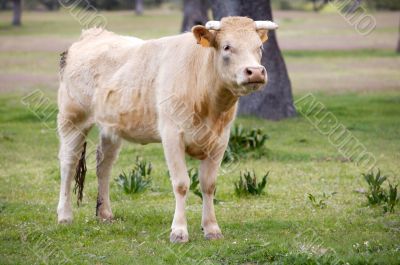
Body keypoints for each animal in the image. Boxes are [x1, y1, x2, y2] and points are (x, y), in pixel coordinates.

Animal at [57, 16, 278, 242]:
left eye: (259, 47)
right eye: (227, 46)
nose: (256, 72)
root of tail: (91, 34)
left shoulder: (220, 140)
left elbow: (208, 185)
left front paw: (212, 228)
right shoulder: (172, 136)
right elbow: (181, 184)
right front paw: (179, 231)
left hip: (111, 128)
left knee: (104, 165)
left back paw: (105, 214)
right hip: (72, 119)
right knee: (68, 163)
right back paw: (64, 216)